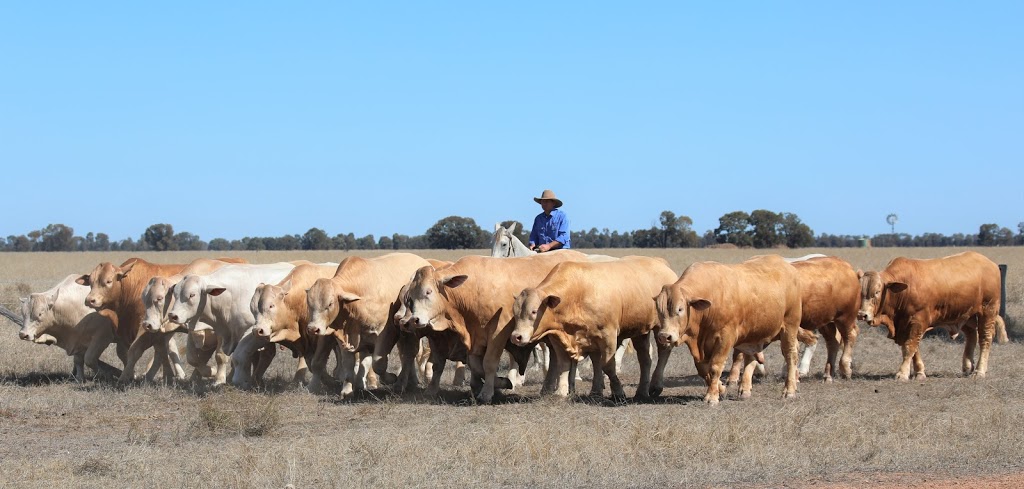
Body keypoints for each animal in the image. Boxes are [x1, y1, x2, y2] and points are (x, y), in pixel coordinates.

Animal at [303, 251, 432, 396]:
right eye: (309, 303)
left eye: (330, 304)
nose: (313, 328)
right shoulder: (346, 337)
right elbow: (348, 364)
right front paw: (347, 390)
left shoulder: (385, 334)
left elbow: (379, 364)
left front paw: (390, 378)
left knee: (409, 355)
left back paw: (406, 382)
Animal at [401, 250, 589, 403]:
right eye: (410, 297)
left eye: (428, 292)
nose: (414, 320)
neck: (472, 289)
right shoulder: (476, 338)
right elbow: (476, 366)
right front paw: (502, 383)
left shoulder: (498, 332)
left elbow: (489, 363)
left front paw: (487, 393)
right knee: (558, 359)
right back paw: (549, 388)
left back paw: (567, 387)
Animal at [507, 257, 675, 398]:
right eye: (515, 312)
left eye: (534, 311)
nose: (516, 336)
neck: (577, 293)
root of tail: (661, 263)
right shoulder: (563, 338)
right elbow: (565, 364)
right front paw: (563, 392)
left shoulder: (608, 336)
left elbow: (607, 365)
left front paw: (618, 392)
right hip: (640, 331)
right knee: (645, 358)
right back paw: (642, 391)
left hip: (661, 328)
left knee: (663, 353)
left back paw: (655, 386)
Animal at [651, 253, 802, 403]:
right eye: (659, 310)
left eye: (680, 309)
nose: (664, 336)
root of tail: (787, 266)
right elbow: (703, 369)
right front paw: (721, 389)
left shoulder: (725, 338)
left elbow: (715, 367)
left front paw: (712, 396)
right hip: (752, 334)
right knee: (750, 358)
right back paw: (745, 389)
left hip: (789, 327)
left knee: (791, 355)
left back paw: (789, 390)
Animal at [851, 250, 1003, 380]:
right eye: (860, 291)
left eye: (877, 292)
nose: (862, 314)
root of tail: (991, 264)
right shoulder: (906, 325)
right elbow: (914, 349)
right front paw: (919, 372)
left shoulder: (917, 321)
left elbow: (910, 347)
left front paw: (902, 373)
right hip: (965, 315)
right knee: (972, 335)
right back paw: (967, 367)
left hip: (988, 311)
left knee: (985, 339)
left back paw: (979, 371)